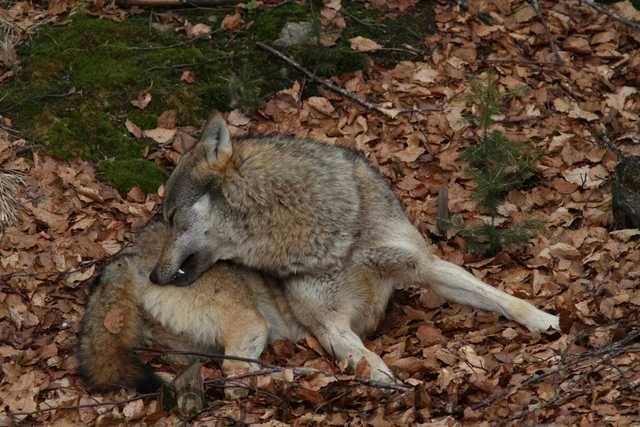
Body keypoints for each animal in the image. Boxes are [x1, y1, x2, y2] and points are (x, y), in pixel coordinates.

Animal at [148, 117, 560, 383]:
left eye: (172, 217)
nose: (153, 275)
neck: (333, 242)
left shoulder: (424, 266)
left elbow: (498, 296)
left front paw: (544, 319)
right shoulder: (331, 326)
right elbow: (371, 361)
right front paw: (392, 385)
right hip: (251, 324)